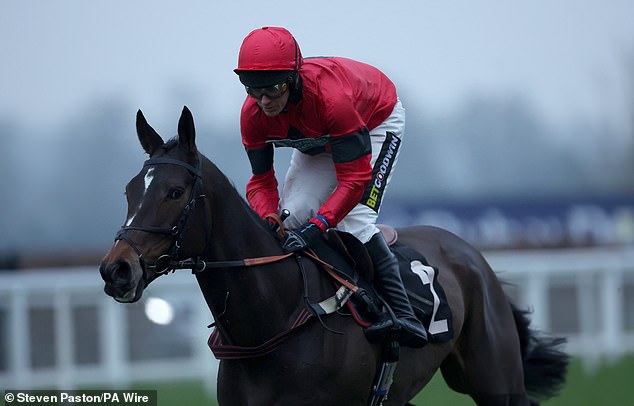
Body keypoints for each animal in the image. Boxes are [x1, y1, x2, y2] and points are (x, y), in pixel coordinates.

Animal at [100, 106, 568, 404]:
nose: (116, 269)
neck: (277, 318)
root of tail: (474, 257)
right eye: (128, 190)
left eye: (175, 192)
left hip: (496, 378)